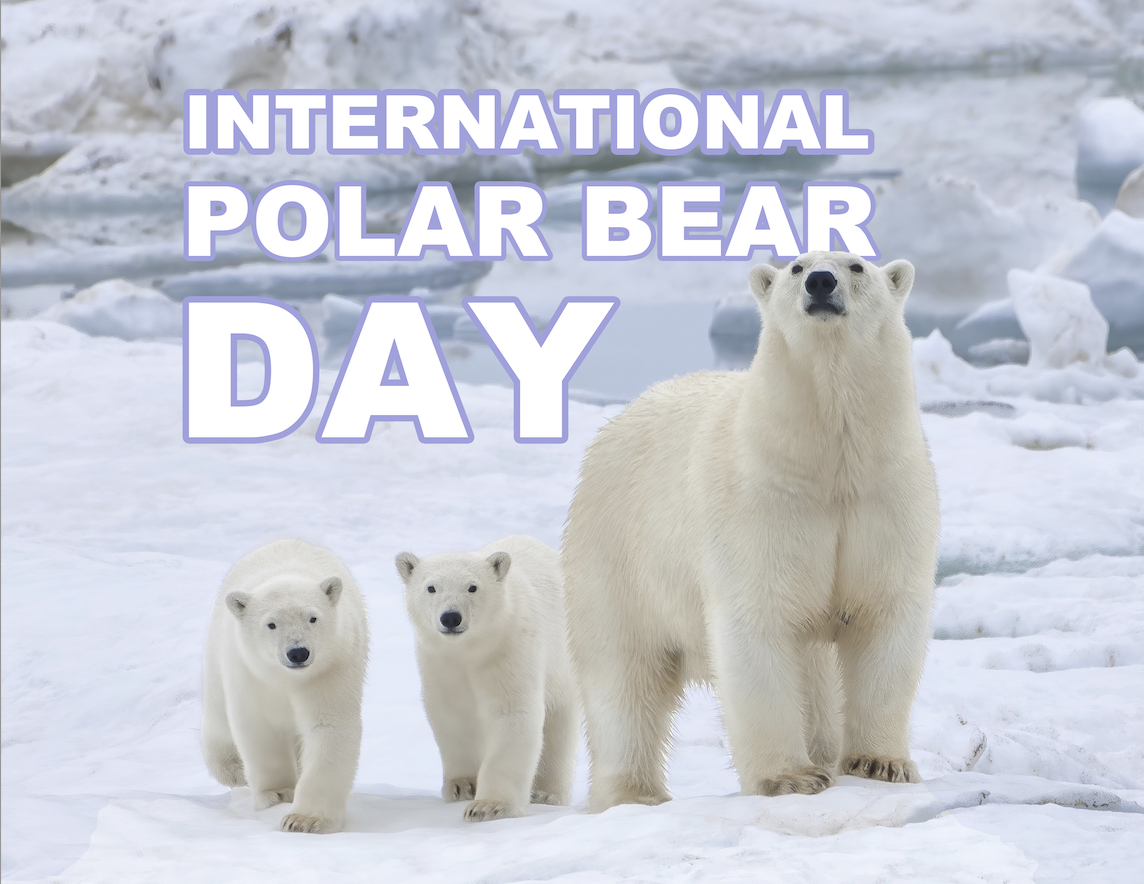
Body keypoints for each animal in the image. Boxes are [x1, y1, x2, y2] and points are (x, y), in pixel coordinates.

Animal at [201, 539, 369, 833]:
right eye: (271, 624)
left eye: (313, 618)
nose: (298, 652)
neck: (286, 679)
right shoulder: (250, 674)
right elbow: (260, 728)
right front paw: (277, 794)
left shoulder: (331, 669)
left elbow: (329, 728)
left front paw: (303, 820)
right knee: (218, 718)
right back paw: (232, 768)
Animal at [396, 535, 579, 822]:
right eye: (431, 587)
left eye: (472, 587)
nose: (451, 617)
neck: (471, 648)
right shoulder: (439, 663)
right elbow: (452, 715)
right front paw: (462, 785)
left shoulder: (509, 650)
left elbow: (513, 712)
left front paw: (488, 806)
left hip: (562, 663)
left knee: (559, 725)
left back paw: (548, 793)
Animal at [562, 251, 940, 812]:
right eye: (796, 266)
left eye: (855, 265)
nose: (820, 282)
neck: (827, 465)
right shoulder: (759, 504)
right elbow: (758, 623)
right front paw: (791, 778)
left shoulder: (886, 499)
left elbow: (885, 615)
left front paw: (880, 763)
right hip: (616, 555)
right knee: (625, 674)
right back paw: (633, 794)